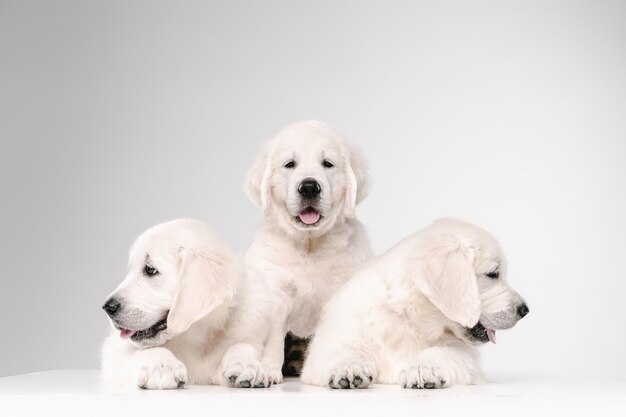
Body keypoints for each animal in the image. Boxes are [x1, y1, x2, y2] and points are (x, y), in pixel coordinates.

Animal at [101, 219, 240, 388]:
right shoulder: (113, 350)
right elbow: (138, 351)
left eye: (150, 269)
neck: (191, 339)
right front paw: (162, 364)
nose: (107, 307)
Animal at [222, 118, 372, 386]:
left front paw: (345, 367)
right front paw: (263, 369)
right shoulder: (275, 290)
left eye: (328, 163)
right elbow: (271, 337)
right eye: (289, 164)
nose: (309, 187)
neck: (309, 245)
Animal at [300, 219, 528, 388]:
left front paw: (422, 368)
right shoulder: (335, 340)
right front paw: (348, 367)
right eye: (493, 274)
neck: (407, 320)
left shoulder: (465, 355)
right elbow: (337, 351)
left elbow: (443, 352)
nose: (525, 310)